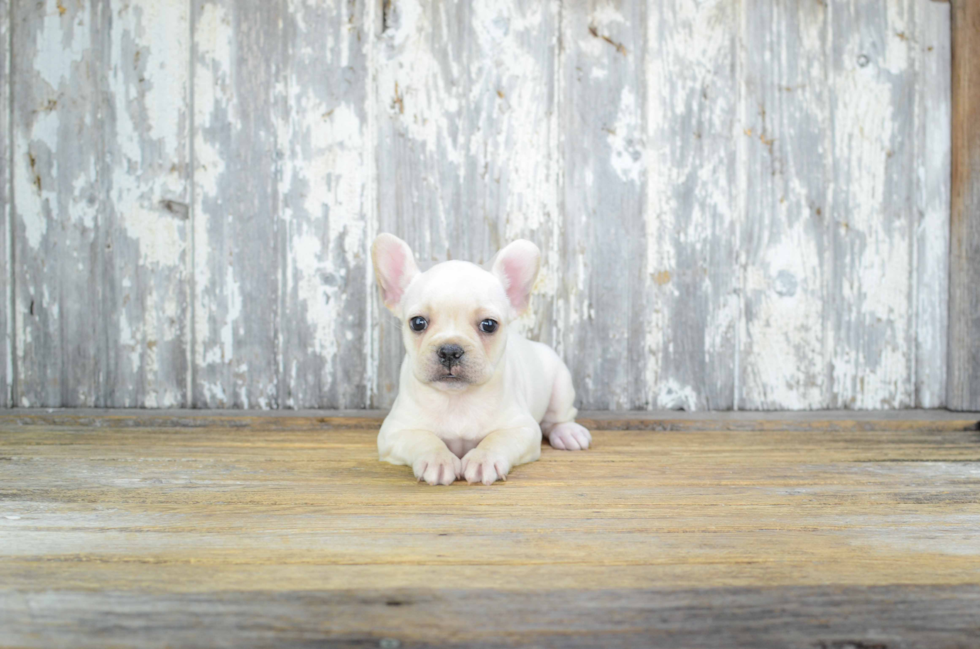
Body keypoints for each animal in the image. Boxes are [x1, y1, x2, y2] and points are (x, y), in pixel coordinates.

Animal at [374, 234, 588, 486]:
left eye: (489, 325)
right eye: (417, 323)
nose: (450, 350)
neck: (457, 399)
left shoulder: (522, 428)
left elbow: (498, 439)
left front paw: (484, 459)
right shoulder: (395, 431)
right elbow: (424, 439)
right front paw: (437, 459)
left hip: (561, 384)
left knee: (557, 418)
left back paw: (568, 432)